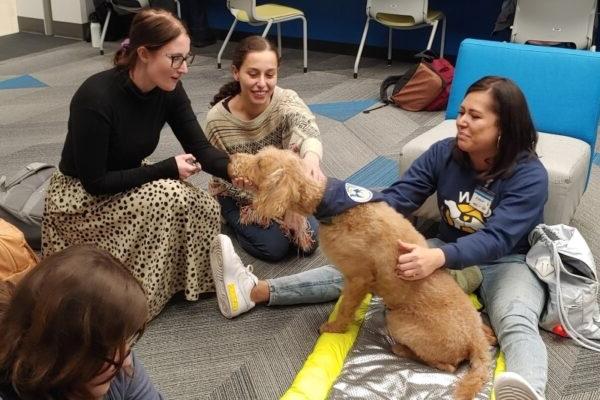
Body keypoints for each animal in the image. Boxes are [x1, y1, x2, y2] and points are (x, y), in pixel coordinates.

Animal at [227, 147, 494, 400]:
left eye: (260, 163)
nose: (231, 159)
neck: (329, 203)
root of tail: (474, 341)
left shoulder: (358, 279)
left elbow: (345, 308)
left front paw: (334, 327)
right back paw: (488, 335)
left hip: (399, 321)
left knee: (448, 367)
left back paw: (402, 350)